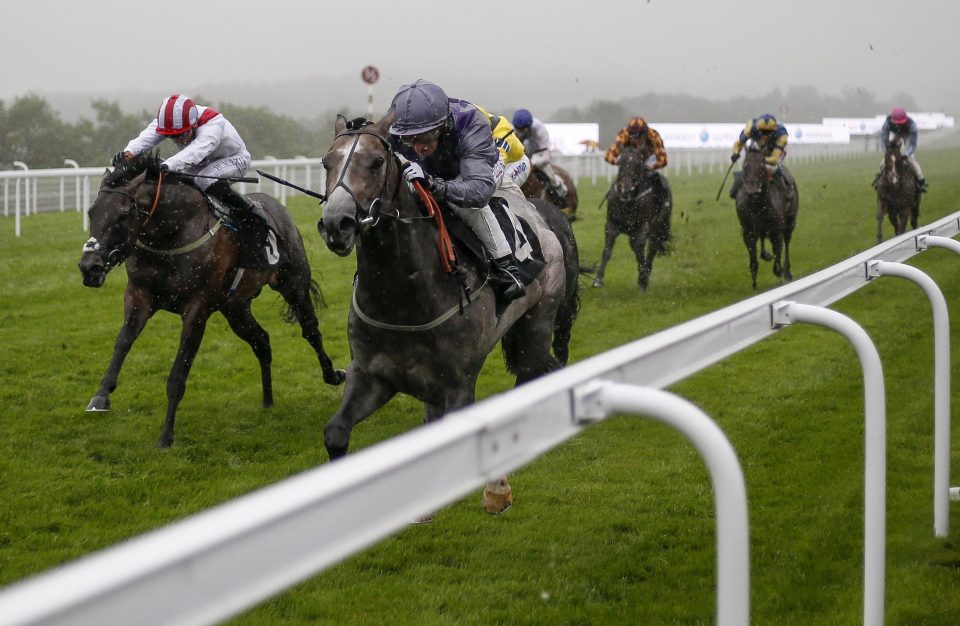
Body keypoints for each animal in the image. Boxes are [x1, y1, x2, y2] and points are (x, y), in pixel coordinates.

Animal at [78, 152, 344, 446]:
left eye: (123, 215)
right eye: (91, 212)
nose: (89, 267)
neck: (172, 234)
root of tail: (277, 206)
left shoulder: (197, 309)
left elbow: (179, 372)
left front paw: (166, 435)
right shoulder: (139, 295)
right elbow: (122, 342)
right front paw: (101, 396)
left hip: (293, 285)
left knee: (311, 331)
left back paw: (332, 374)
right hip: (235, 307)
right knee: (261, 341)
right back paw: (267, 400)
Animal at [588, 142, 672, 290]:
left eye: (638, 164)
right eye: (620, 162)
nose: (625, 188)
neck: (628, 201)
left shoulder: (644, 226)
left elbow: (640, 249)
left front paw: (643, 279)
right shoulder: (611, 225)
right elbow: (607, 251)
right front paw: (598, 279)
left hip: (658, 227)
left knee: (651, 248)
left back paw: (645, 274)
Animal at [736, 141, 804, 288]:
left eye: (762, 166)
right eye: (744, 165)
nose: (751, 191)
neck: (757, 205)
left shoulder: (776, 229)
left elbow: (778, 251)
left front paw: (780, 270)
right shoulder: (748, 231)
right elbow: (753, 259)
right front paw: (754, 282)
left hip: (790, 223)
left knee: (787, 242)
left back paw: (787, 271)